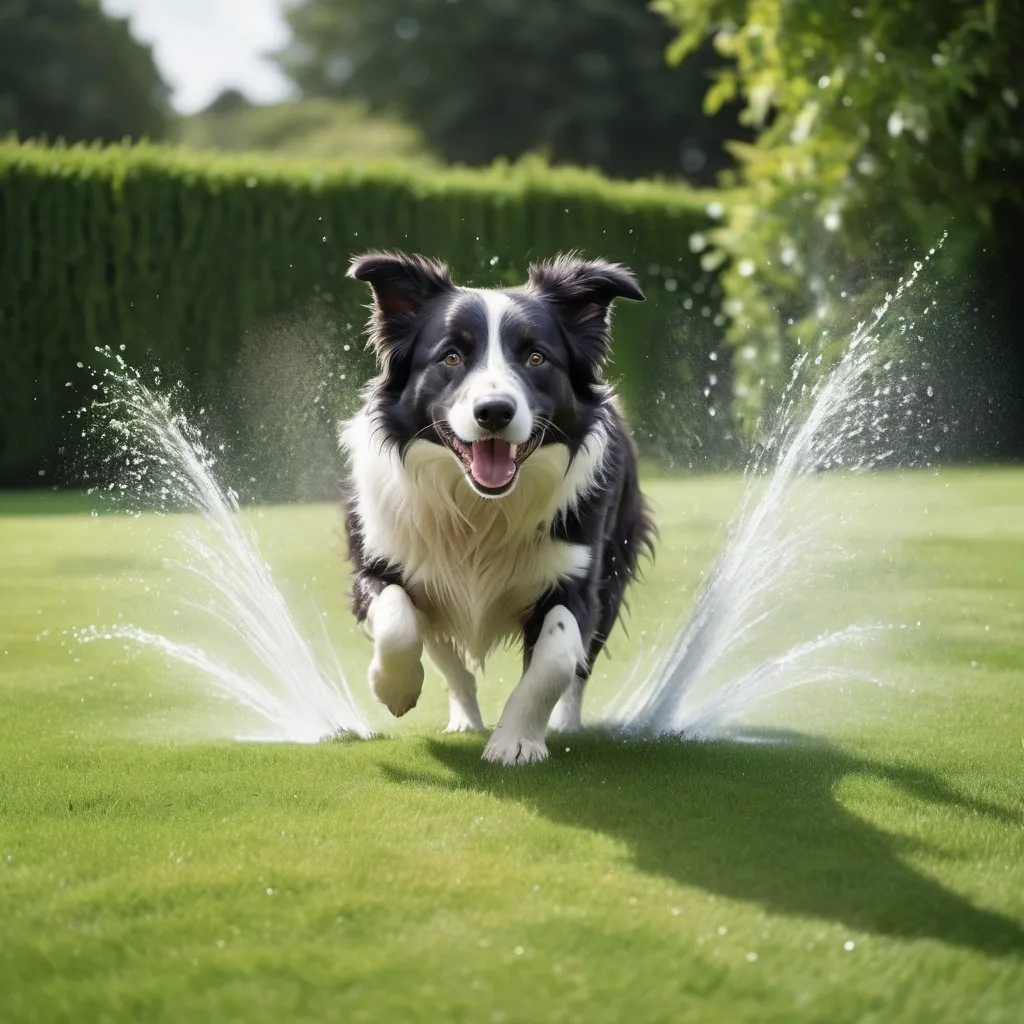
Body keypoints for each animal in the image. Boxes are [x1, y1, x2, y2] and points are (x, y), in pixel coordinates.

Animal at [339, 251, 651, 765]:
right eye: (451, 357)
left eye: (536, 357)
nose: (494, 412)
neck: (482, 508)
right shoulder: (377, 561)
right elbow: (399, 619)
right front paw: (394, 689)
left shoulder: (576, 579)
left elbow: (557, 655)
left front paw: (516, 741)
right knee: (445, 655)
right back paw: (464, 718)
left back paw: (564, 724)